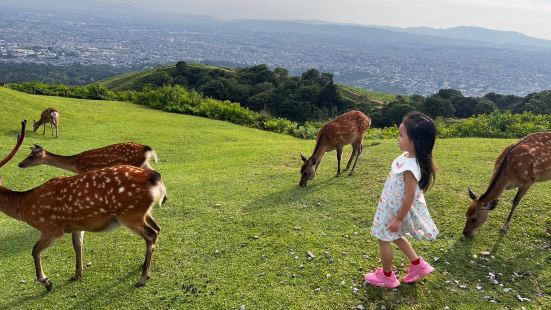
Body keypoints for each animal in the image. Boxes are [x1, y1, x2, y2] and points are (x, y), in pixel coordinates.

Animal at [0, 120, 168, 290]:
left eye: (31, 155)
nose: (20, 164)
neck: (24, 204)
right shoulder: (76, 224)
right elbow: (77, 245)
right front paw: (77, 274)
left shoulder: (52, 228)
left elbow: (35, 251)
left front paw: (47, 281)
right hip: (142, 210)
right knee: (157, 227)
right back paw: (144, 265)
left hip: (129, 214)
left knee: (151, 233)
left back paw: (143, 278)